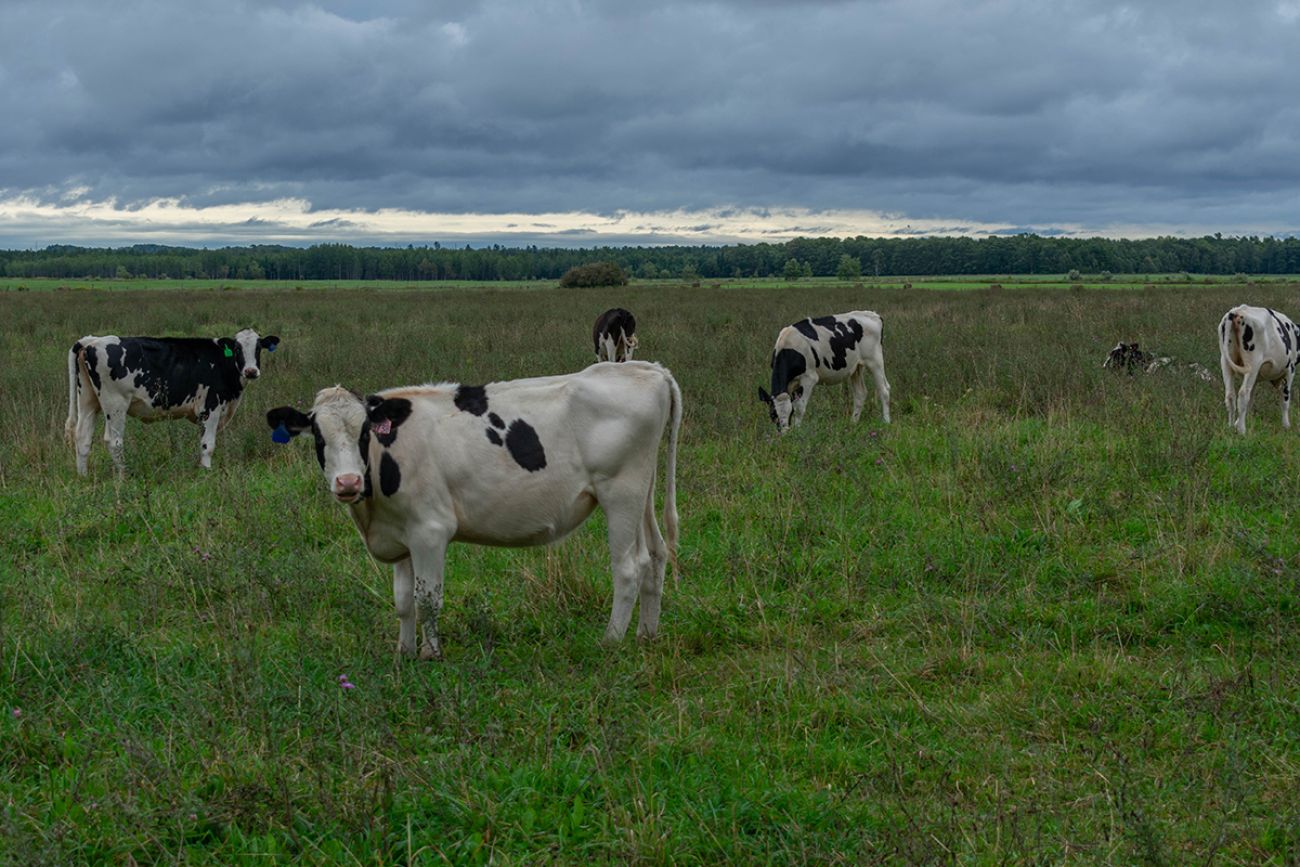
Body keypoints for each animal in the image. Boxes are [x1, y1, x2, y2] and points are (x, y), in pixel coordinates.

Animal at [65, 328, 279, 475]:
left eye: (258, 348)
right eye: (237, 348)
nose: (251, 371)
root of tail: (92, 341)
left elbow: (201, 444)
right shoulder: (211, 408)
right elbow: (208, 445)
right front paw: (207, 473)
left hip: (88, 400)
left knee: (82, 437)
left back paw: (83, 476)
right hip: (115, 404)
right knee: (114, 441)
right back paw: (123, 476)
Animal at [263, 358, 681, 657]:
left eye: (366, 431)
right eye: (318, 436)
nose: (348, 483)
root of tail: (646, 368)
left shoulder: (430, 531)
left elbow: (427, 599)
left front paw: (430, 655)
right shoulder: (400, 535)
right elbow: (403, 601)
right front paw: (404, 652)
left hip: (620, 491)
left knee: (628, 567)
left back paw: (611, 642)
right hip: (642, 491)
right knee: (656, 555)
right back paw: (647, 635)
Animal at [759, 311, 889, 434]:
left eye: (790, 412)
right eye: (773, 414)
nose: (784, 434)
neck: (789, 346)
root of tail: (874, 315)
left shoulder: (809, 378)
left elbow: (800, 406)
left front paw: (797, 431)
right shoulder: (790, 383)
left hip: (875, 361)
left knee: (884, 389)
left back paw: (886, 421)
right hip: (856, 367)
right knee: (860, 393)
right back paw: (853, 423)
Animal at [1216, 306, 1300, 436]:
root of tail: (1236, 312)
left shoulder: (1256, 378)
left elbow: (1251, 400)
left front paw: (1236, 423)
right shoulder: (1290, 369)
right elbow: (1285, 399)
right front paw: (1286, 426)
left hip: (1225, 362)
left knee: (1230, 395)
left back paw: (1230, 427)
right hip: (1252, 363)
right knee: (1243, 394)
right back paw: (1242, 431)